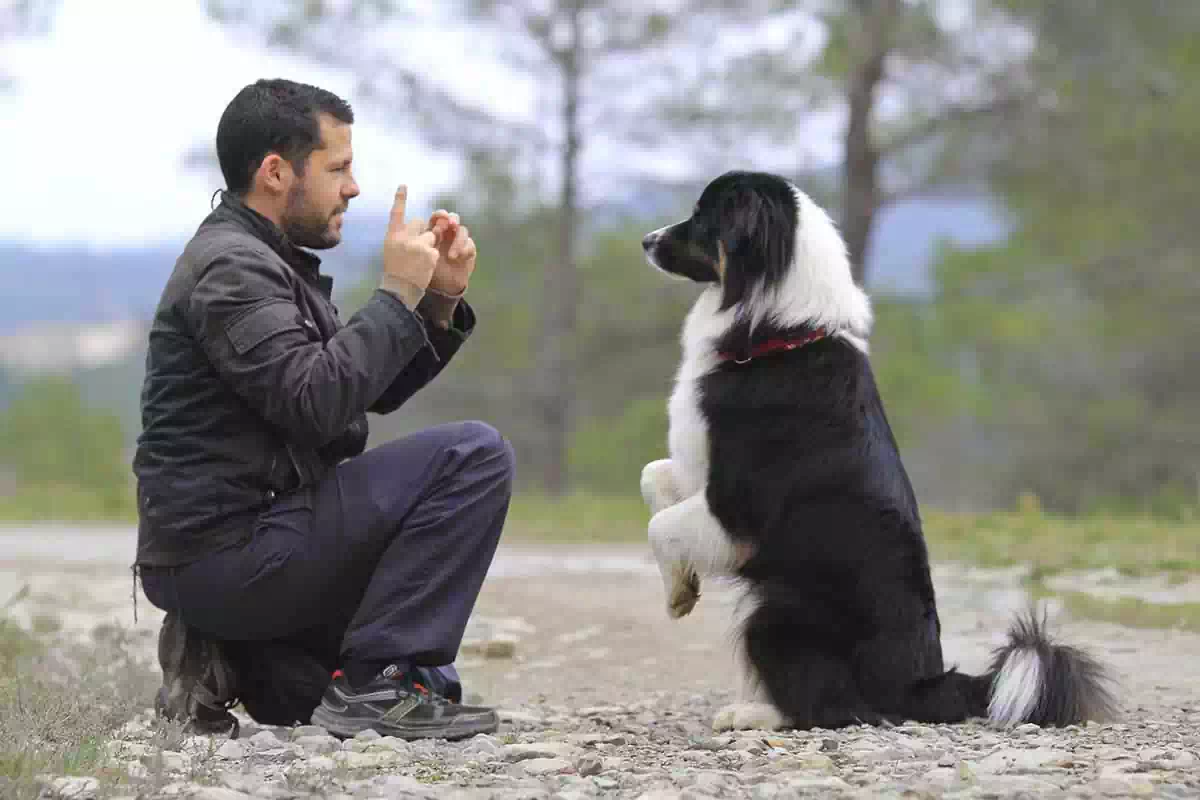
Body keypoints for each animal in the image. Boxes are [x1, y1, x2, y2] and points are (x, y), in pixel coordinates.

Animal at [638, 169, 1113, 734]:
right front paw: (683, 584)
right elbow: (653, 478)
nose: (645, 240)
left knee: (836, 708)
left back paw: (754, 715)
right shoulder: (698, 471)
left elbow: (661, 525)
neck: (779, 334)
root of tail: (920, 684)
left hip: (776, 612)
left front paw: (676, 596)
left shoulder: (737, 506)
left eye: (702, 217)